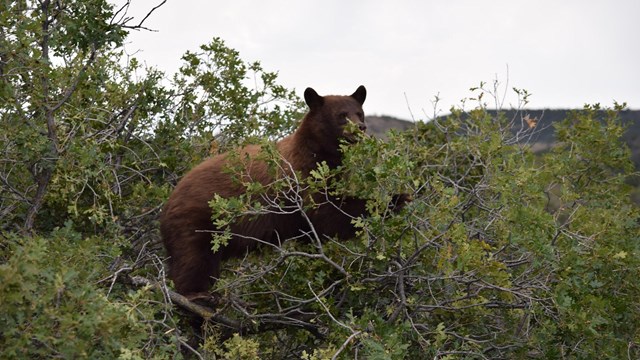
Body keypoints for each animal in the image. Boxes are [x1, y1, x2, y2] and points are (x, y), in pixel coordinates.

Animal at [159, 86, 370, 296]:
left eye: (360, 113)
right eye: (342, 115)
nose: (361, 127)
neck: (316, 151)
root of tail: (169, 201)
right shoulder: (301, 178)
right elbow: (325, 213)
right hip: (197, 220)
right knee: (193, 260)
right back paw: (199, 297)